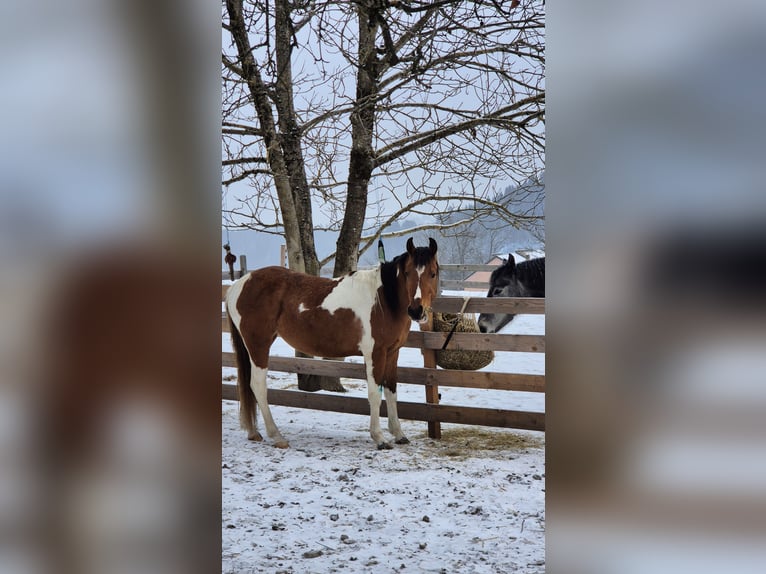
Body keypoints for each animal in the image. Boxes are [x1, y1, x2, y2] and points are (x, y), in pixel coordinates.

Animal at [225, 237, 440, 450]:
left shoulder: (392, 353)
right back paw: (277, 436)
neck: (384, 299)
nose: (416, 311)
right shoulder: (375, 354)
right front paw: (379, 438)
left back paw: (254, 433)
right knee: (258, 385)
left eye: (433, 273)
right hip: (258, 345)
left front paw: (399, 434)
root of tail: (238, 285)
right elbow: (374, 395)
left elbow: (391, 391)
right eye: (407, 273)